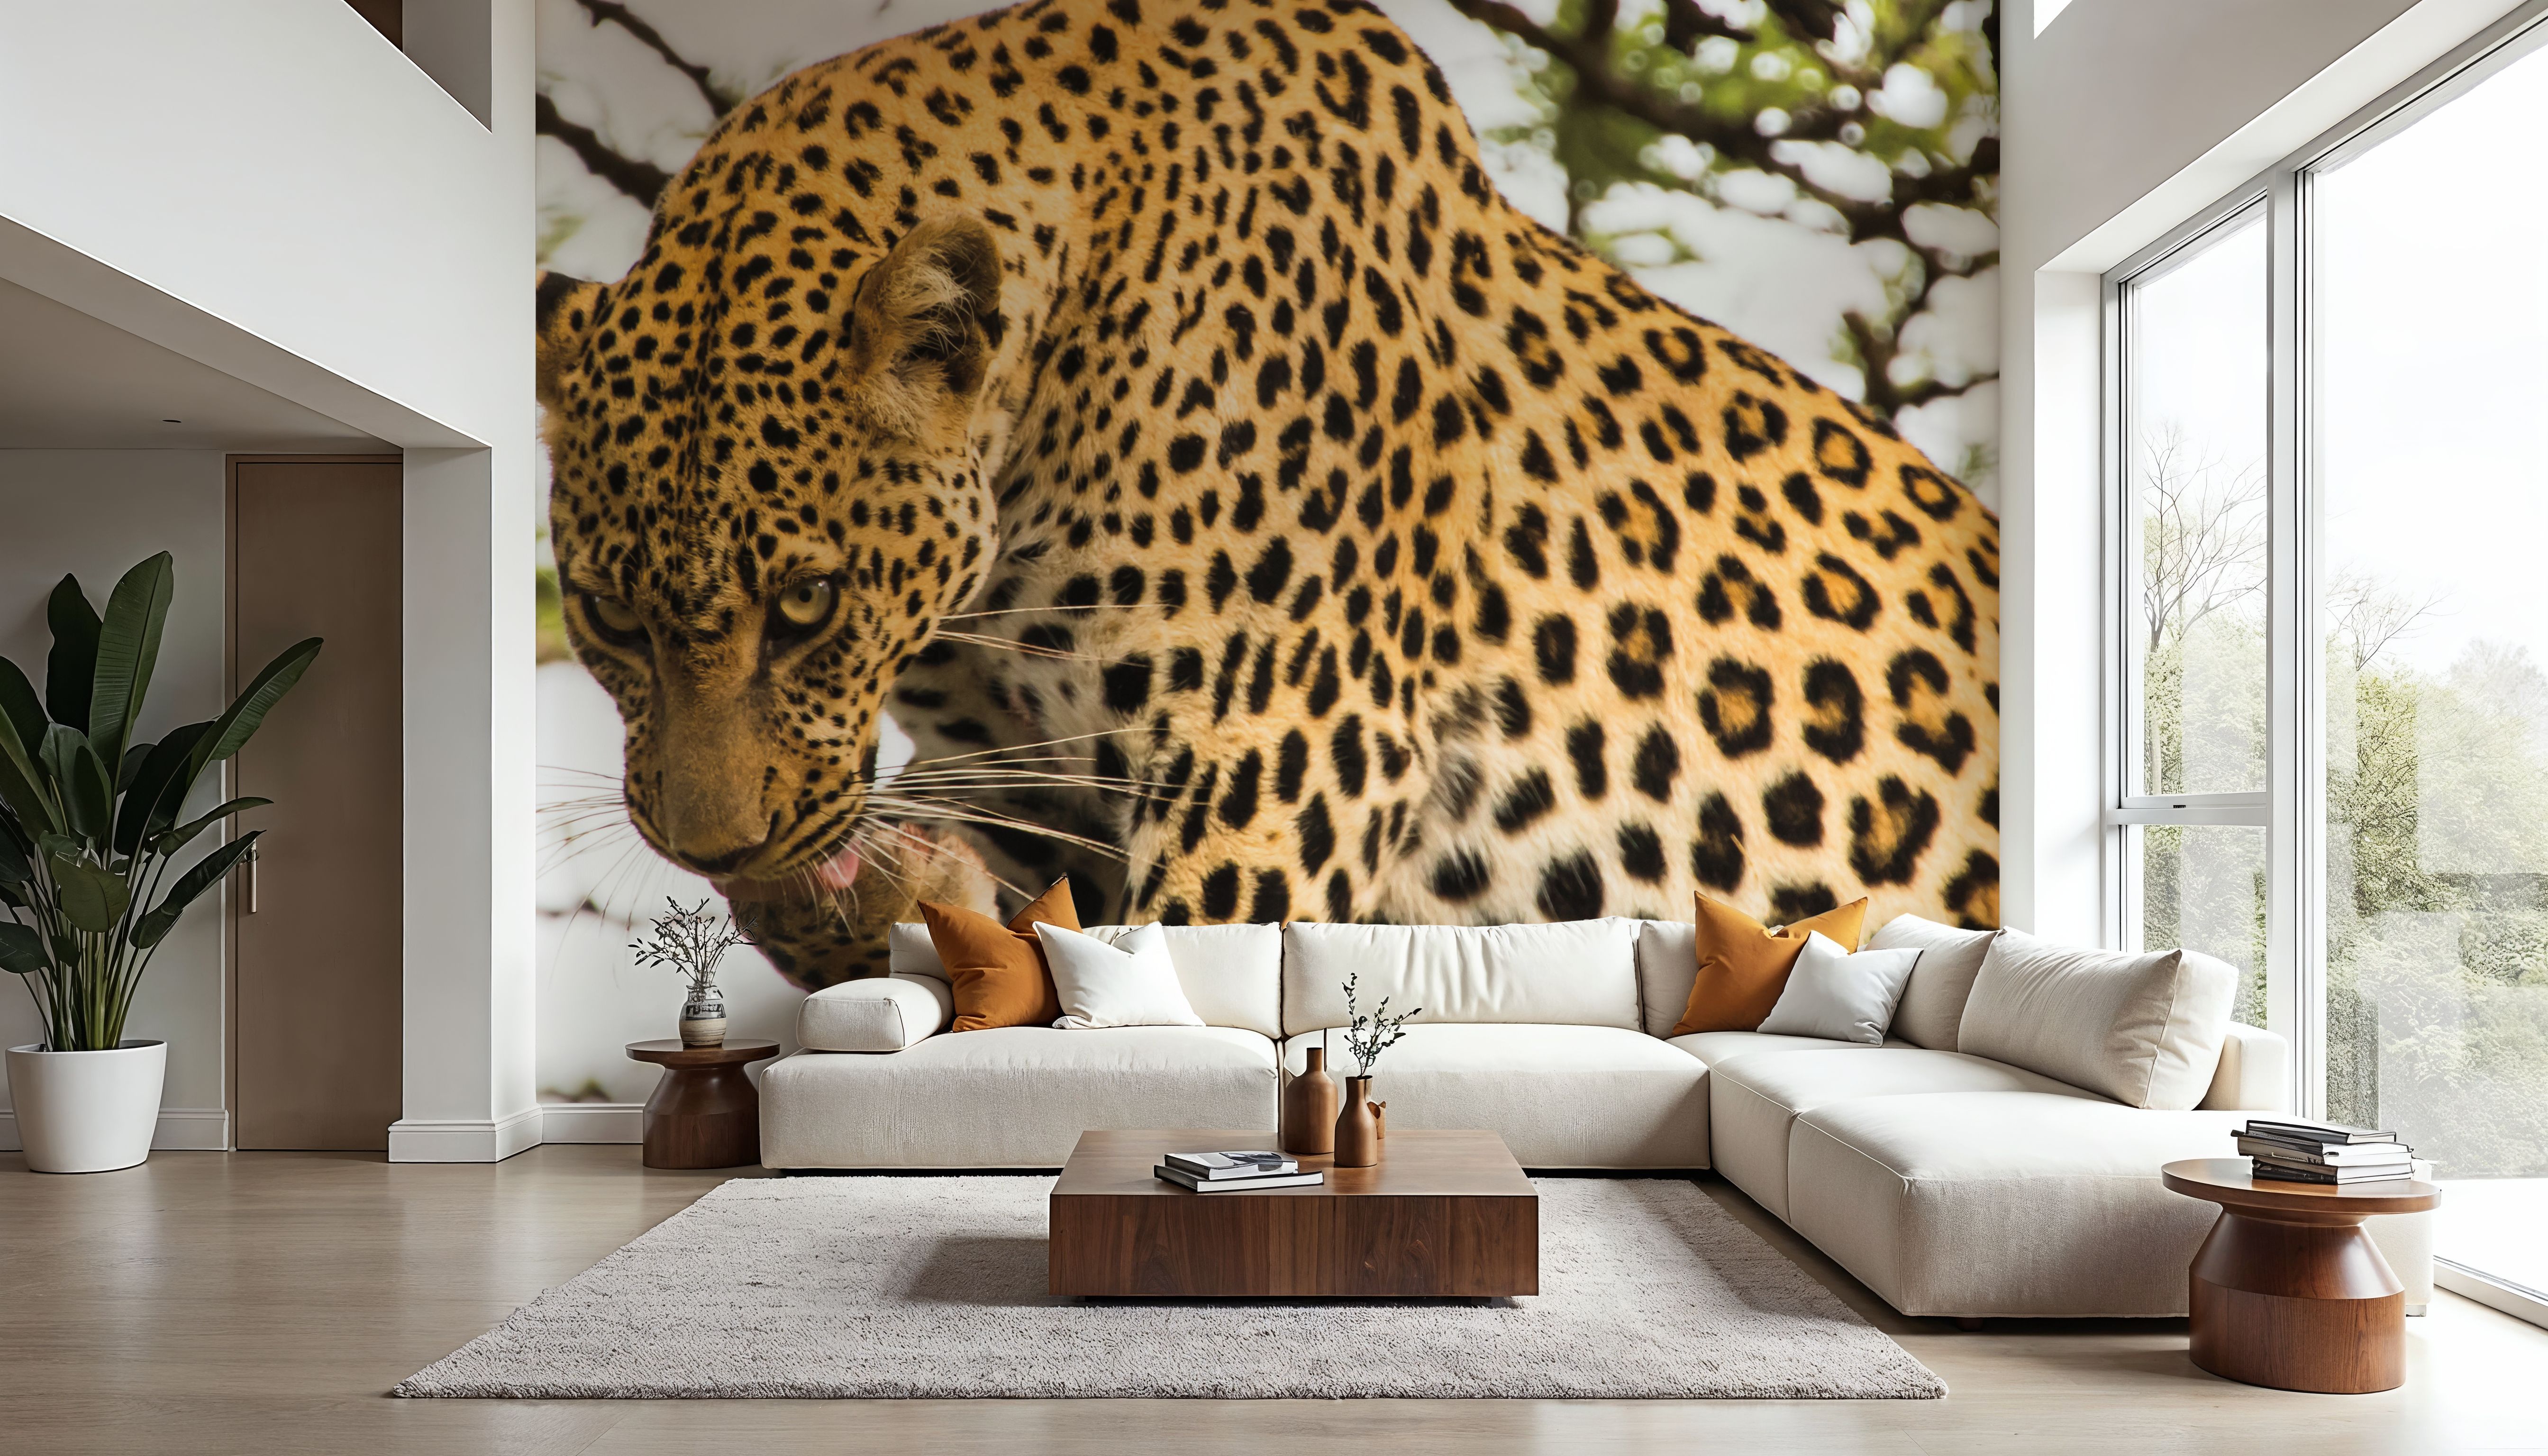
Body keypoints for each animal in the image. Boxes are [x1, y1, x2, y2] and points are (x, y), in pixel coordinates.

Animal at [534, 0, 2002, 993]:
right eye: (604, 617)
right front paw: (867, 897)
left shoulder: (1284, 768)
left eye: (806, 604)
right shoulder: (1050, 799)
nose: (713, 849)